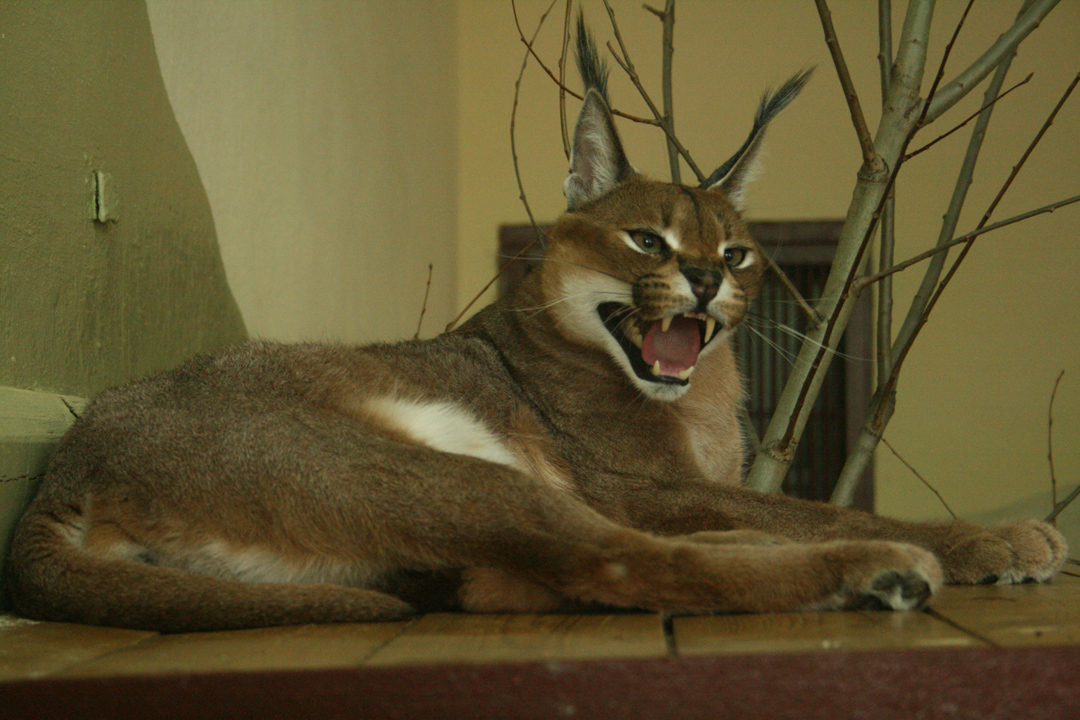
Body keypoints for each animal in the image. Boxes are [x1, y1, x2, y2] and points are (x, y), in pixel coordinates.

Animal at [5, 19, 1065, 632]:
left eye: (734, 253)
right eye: (647, 238)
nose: (700, 281)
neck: (702, 400)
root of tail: (67, 461)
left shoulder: (667, 484)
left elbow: (770, 503)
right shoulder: (639, 482)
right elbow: (824, 505)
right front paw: (994, 539)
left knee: (586, 562)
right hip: (432, 473)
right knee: (619, 559)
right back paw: (879, 570)